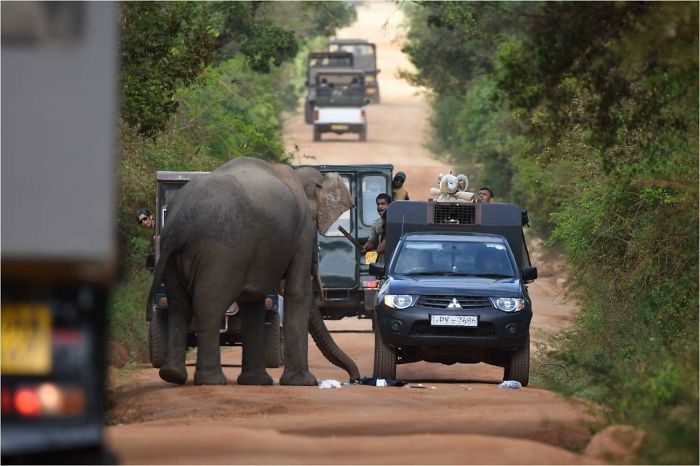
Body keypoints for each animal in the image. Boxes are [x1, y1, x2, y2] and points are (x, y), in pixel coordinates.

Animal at [147, 156, 360, 386]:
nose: (353, 379)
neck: (298, 173)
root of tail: (180, 221)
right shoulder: (303, 229)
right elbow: (297, 291)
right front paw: (303, 382)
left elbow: (254, 299)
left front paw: (256, 381)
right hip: (221, 253)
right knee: (209, 306)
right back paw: (212, 380)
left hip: (174, 257)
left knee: (178, 305)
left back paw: (173, 375)